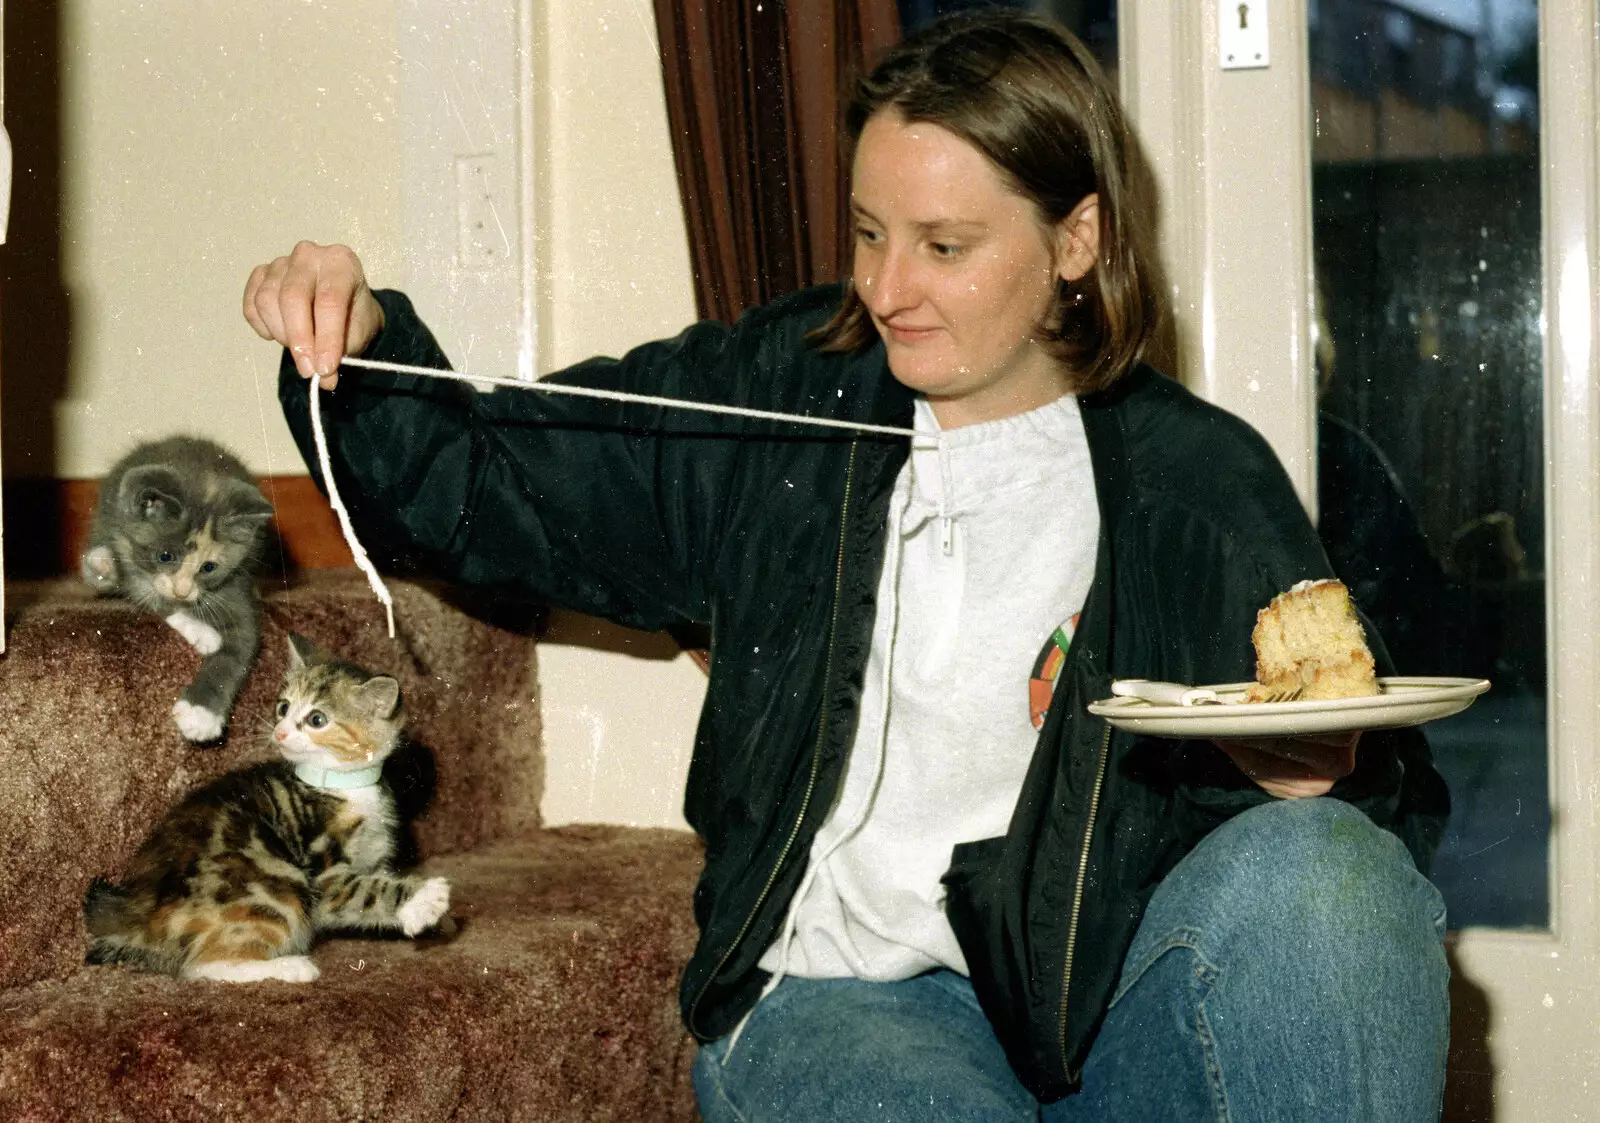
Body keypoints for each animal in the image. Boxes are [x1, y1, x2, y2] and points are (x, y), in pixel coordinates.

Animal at [82, 435, 275, 742]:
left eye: (208, 567)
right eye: (165, 556)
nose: (182, 592)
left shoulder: (234, 584)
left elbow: (240, 644)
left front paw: (201, 715)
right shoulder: (128, 553)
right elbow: (154, 599)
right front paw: (204, 633)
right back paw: (101, 563)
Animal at [85, 633, 454, 985]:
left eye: (317, 719)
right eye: (284, 707)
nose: (280, 731)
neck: (343, 784)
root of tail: (138, 915)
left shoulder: (372, 855)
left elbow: (373, 883)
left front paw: (422, 917)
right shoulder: (323, 872)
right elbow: (362, 891)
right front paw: (426, 898)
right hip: (276, 885)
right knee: (203, 966)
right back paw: (290, 967)